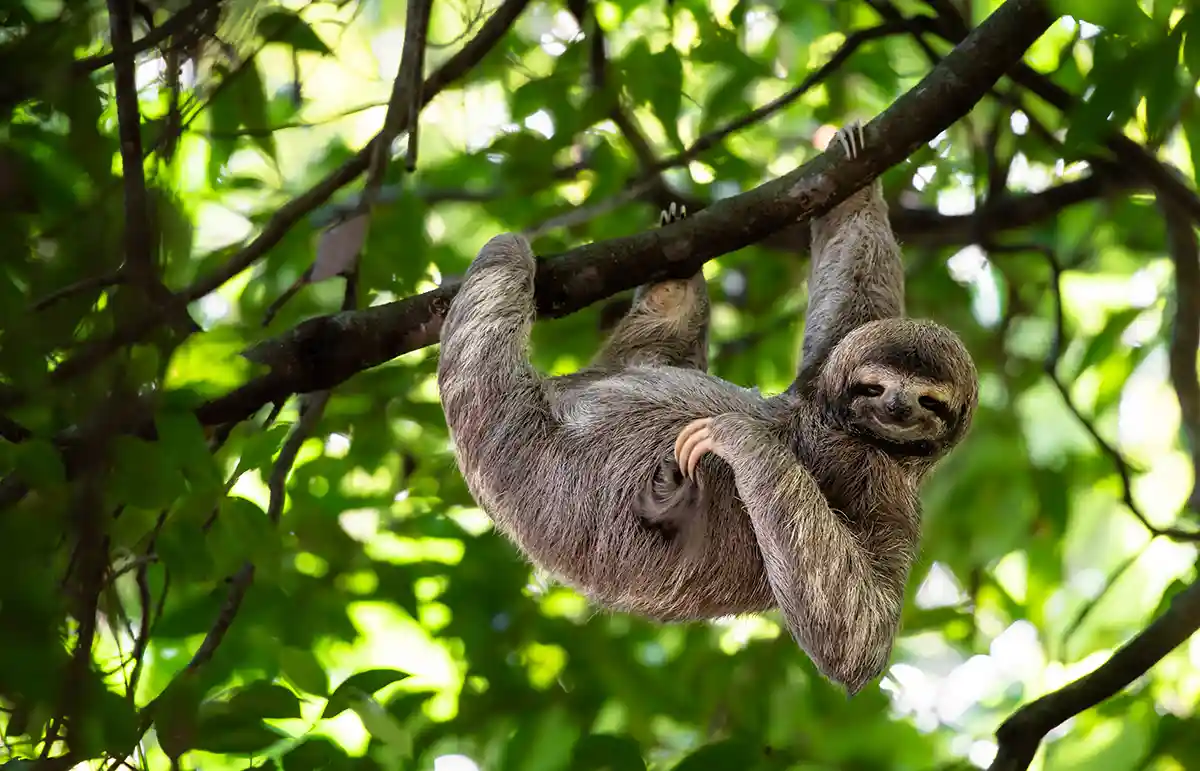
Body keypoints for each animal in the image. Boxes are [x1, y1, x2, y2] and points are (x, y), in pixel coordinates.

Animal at [436, 122, 979, 694]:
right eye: (874, 388)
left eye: (930, 401)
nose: (897, 409)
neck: (834, 424)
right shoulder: (825, 371)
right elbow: (856, 278)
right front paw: (856, 162)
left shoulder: (887, 487)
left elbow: (858, 634)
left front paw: (741, 436)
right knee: (646, 348)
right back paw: (676, 273)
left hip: (509, 445)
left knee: (496, 294)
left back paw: (512, 255)